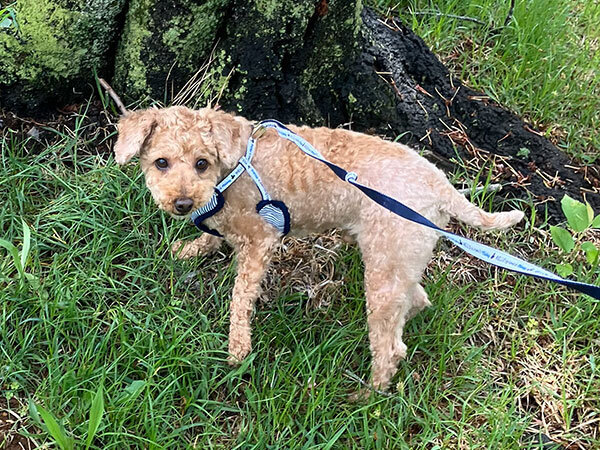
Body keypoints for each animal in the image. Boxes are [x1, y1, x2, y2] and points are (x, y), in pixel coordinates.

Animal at [113, 105, 524, 390]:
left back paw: (365, 397)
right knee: (417, 299)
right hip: (399, 257)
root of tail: (441, 185)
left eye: (202, 163)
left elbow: (241, 297)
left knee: (391, 349)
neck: (232, 168)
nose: (182, 203)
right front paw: (190, 249)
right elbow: (211, 236)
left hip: (385, 269)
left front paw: (238, 349)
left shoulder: (261, 241)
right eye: (161, 162)